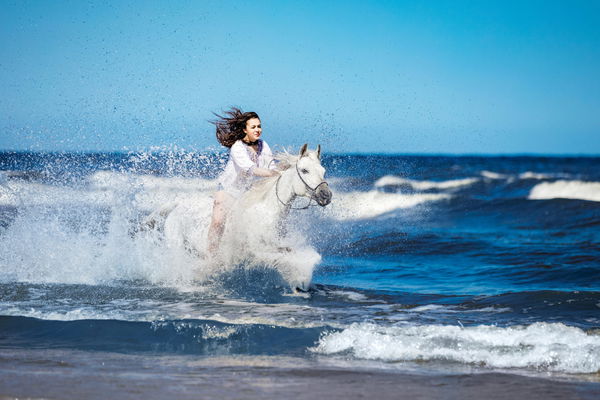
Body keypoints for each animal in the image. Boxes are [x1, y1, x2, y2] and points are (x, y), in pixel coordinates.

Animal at [144, 144, 336, 290]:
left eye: (323, 170)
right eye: (304, 170)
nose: (326, 196)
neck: (267, 213)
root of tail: (177, 204)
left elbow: (291, 252)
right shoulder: (257, 249)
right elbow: (284, 257)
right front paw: (300, 279)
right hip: (177, 245)